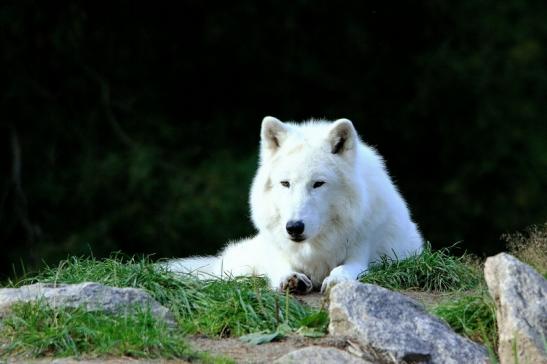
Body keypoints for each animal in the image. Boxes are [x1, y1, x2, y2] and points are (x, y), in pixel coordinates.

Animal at [167, 116, 424, 292]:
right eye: (285, 183)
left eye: (318, 184)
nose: (293, 227)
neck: (315, 248)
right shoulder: (278, 251)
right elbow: (280, 266)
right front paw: (290, 279)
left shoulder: (362, 251)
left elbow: (347, 268)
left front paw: (337, 279)